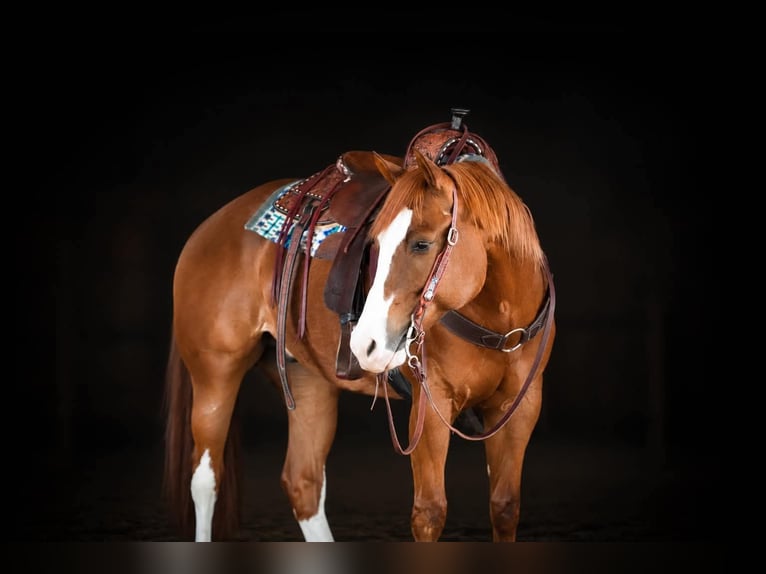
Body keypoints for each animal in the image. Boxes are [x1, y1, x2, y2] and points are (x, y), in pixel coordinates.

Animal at [163, 113, 556, 542]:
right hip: (215, 375)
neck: (500, 318)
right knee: (206, 480)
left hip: (306, 378)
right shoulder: (432, 404)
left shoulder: (519, 407)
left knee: (303, 482)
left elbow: (505, 507)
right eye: (374, 244)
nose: (366, 343)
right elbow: (430, 512)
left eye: (421, 244)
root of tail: (209, 228)